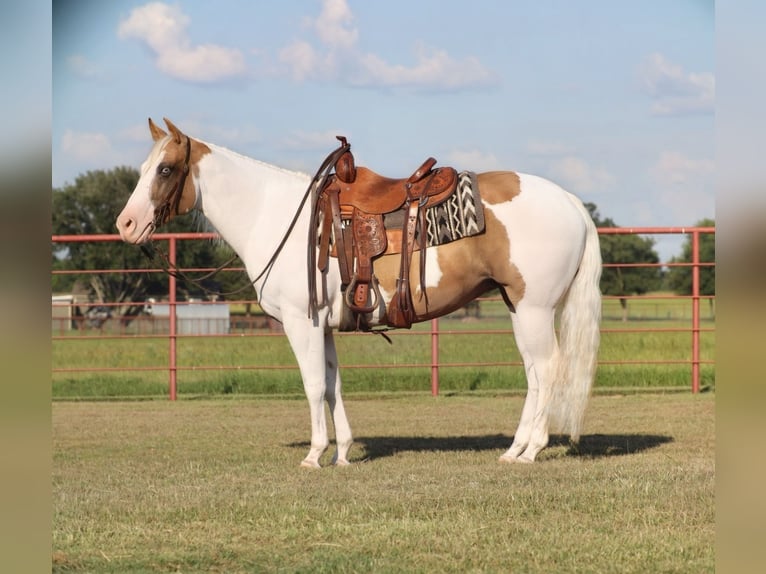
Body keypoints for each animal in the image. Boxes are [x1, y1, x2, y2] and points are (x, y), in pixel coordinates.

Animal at [116, 118, 601, 467]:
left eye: (165, 169)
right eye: (142, 169)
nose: (126, 224)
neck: (275, 216)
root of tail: (571, 202)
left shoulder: (302, 322)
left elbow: (313, 385)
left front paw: (314, 455)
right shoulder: (326, 326)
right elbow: (333, 385)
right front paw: (344, 453)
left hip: (534, 308)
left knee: (547, 369)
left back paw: (532, 451)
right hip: (518, 307)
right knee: (535, 374)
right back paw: (514, 449)